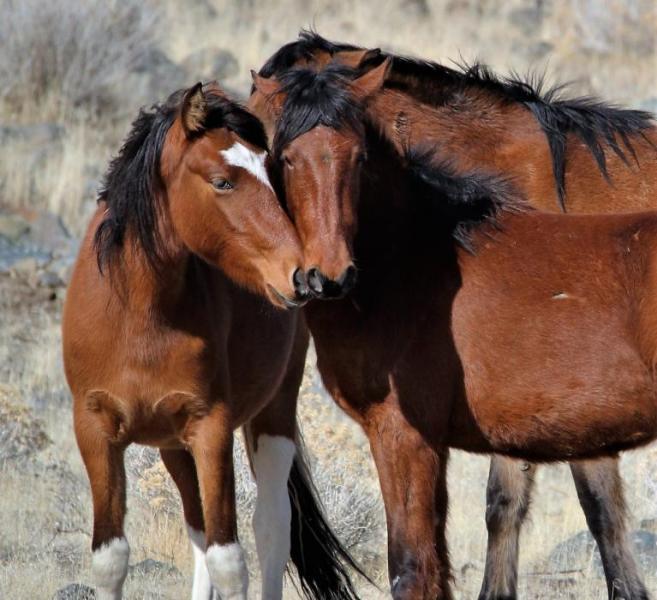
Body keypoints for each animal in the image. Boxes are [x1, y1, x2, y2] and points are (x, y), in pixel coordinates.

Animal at [62, 82, 363, 600]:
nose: (300, 275)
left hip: (272, 417)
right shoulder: (95, 430)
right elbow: (111, 557)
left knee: (271, 526)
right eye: (222, 181)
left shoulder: (212, 428)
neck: (138, 315)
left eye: (271, 173)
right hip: (172, 444)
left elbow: (229, 559)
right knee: (198, 526)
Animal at [249, 55, 657, 600]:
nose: (329, 275)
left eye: (358, 157)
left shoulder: (404, 436)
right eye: (285, 157)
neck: (419, 258)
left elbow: (413, 568)